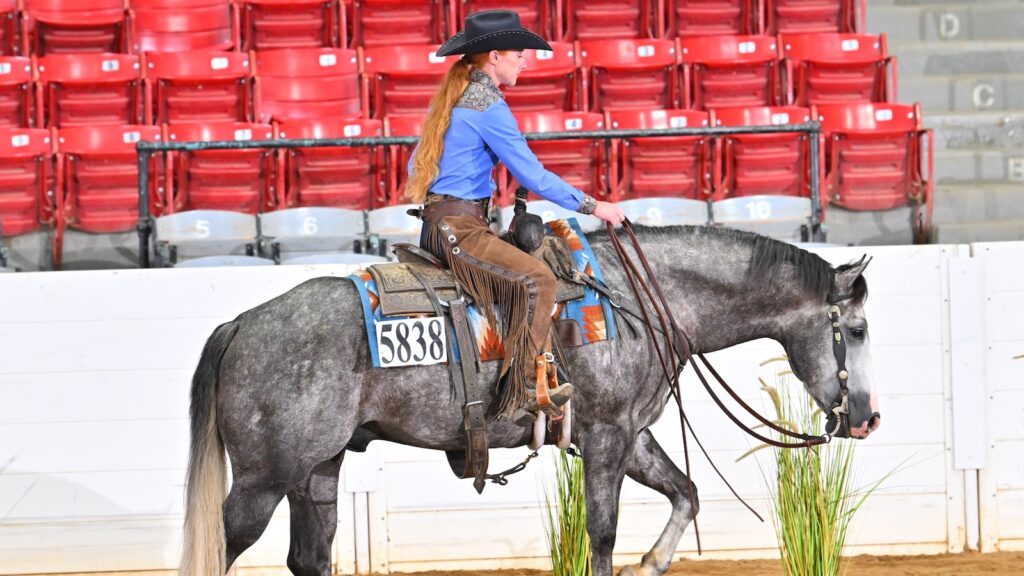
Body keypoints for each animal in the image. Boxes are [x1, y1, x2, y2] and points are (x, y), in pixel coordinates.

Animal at [179, 224, 879, 576]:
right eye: (859, 329)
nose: (868, 419)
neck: (637, 300)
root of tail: (240, 323)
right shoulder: (606, 438)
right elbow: (602, 533)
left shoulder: (628, 434)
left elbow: (687, 492)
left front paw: (651, 564)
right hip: (263, 479)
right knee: (224, 546)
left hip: (316, 471)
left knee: (310, 556)